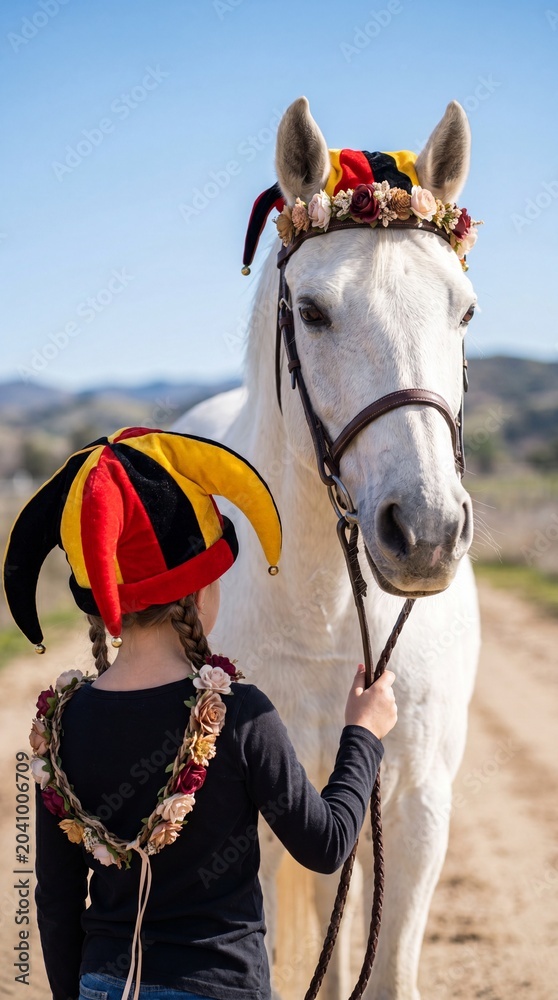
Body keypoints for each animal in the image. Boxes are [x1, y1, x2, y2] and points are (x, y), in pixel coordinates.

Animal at [174, 97, 481, 1000]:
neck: (333, 607)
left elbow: (385, 969)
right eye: (311, 311)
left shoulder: (414, 811)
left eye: (464, 311)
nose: (426, 533)